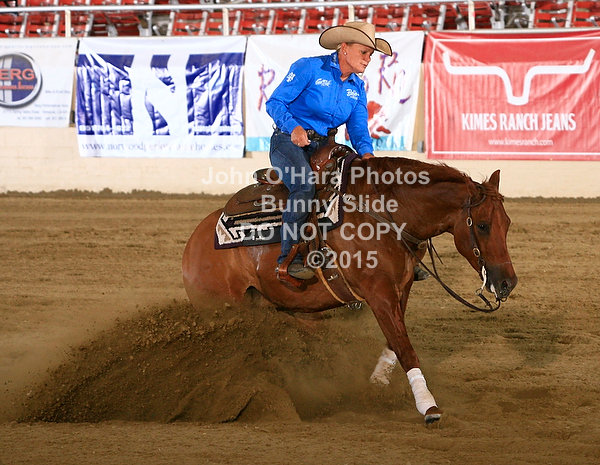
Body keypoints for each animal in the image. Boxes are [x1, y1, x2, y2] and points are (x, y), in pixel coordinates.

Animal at [182, 149, 518, 424]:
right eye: (483, 225)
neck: (386, 215)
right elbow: (405, 348)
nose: (507, 282)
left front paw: (376, 385)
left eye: (508, 223)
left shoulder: (401, 288)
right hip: (223, 312)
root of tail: (194, 243)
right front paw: (428, 406)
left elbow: (393, 343)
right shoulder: (378, 293)